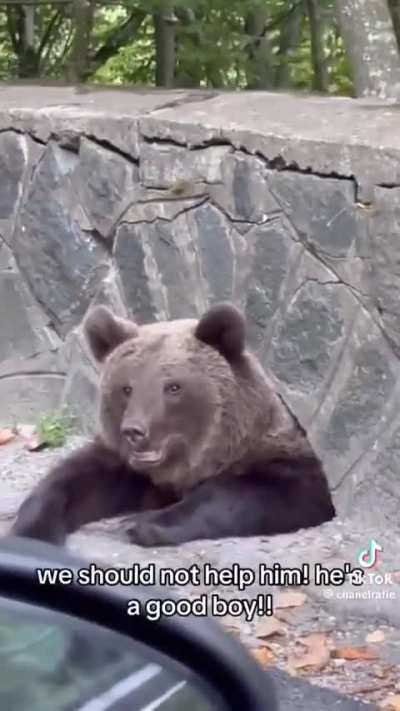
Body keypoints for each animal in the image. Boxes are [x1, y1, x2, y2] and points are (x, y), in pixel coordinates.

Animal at [10, 302, 335, 547]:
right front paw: (32, 529)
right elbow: (76, 478)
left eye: (173, 387)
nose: (134, 431)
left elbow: (265, 491)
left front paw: (138, 523)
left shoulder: (279, 452)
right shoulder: (130, 466)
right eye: (126, 388)